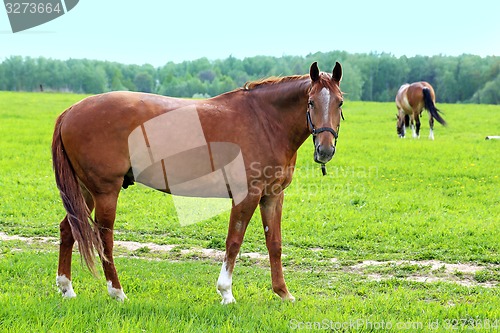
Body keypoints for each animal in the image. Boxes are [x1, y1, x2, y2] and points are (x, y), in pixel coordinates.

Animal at [51, 61, 344, 302]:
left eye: (339, 102)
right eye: (311, 102)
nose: (325, 150)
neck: (263, 122)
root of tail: (71, 111)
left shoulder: (272, 196)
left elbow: (275, 244)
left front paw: (283, 293)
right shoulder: (246, 196)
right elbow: (233, 242)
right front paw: (226, 293)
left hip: (84, 191)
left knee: (68, 229)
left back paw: (67, 288)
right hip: (105, 192)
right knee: (105, 237)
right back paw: (117, 292)